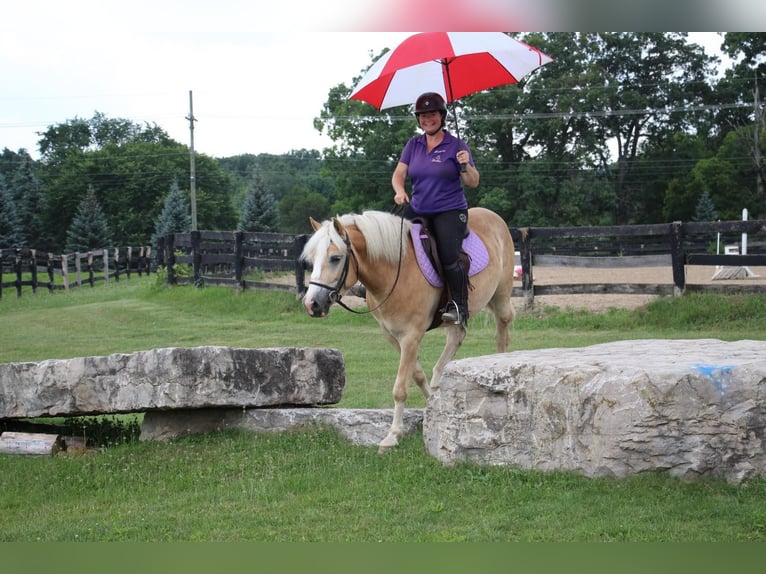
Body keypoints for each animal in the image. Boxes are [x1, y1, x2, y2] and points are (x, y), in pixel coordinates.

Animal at [302, 208, 516, 454]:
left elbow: (400, 388)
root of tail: (492, 215)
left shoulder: (411, 336)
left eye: (335, 258)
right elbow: (417, 374)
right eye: (311, 260)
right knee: (455, 340)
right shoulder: (393, 336)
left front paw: (392, 436)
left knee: (501, 336)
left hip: (501, 299)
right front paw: (432, 406)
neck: (395, 271)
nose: (311, 304)